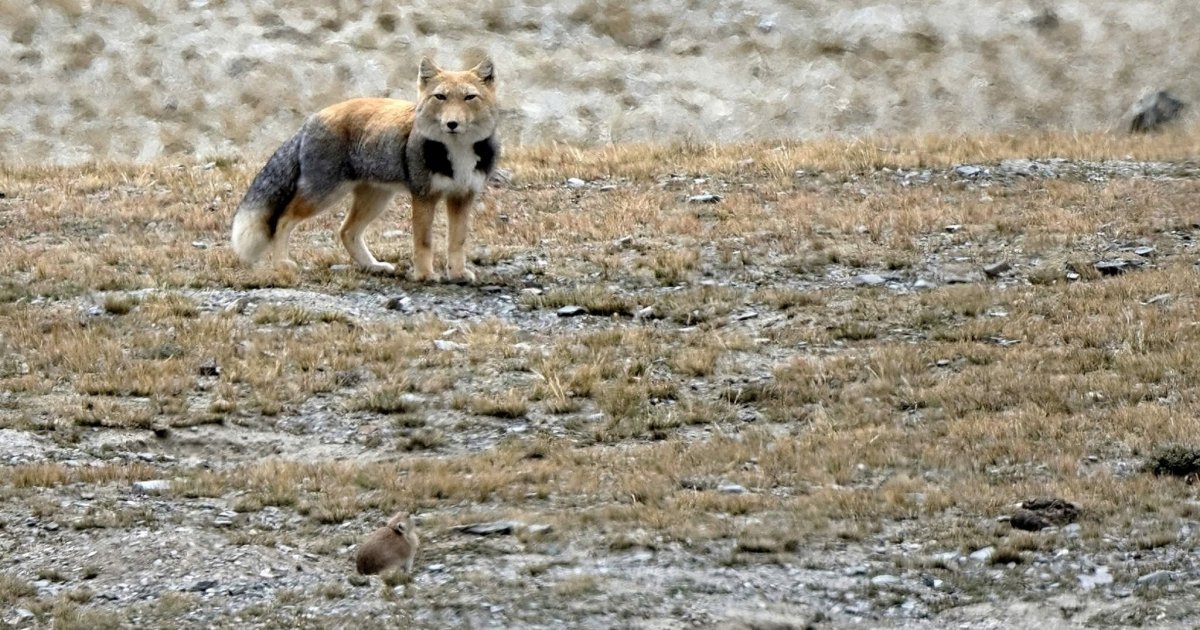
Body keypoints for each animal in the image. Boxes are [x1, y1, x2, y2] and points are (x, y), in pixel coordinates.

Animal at [230, 57, 500, 282]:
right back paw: (281, 264)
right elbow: (423, 242)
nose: (452, 123)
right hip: (323, 195)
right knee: (283, 220)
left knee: (346, 231)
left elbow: (457, 241)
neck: (458, 152)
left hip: (376, 199)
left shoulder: (463, 196)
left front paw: (457, 274)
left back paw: (372, 266)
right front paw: (424, 275)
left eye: (469, 97)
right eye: (440, 97)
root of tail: (312, 118)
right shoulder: (424, 195)